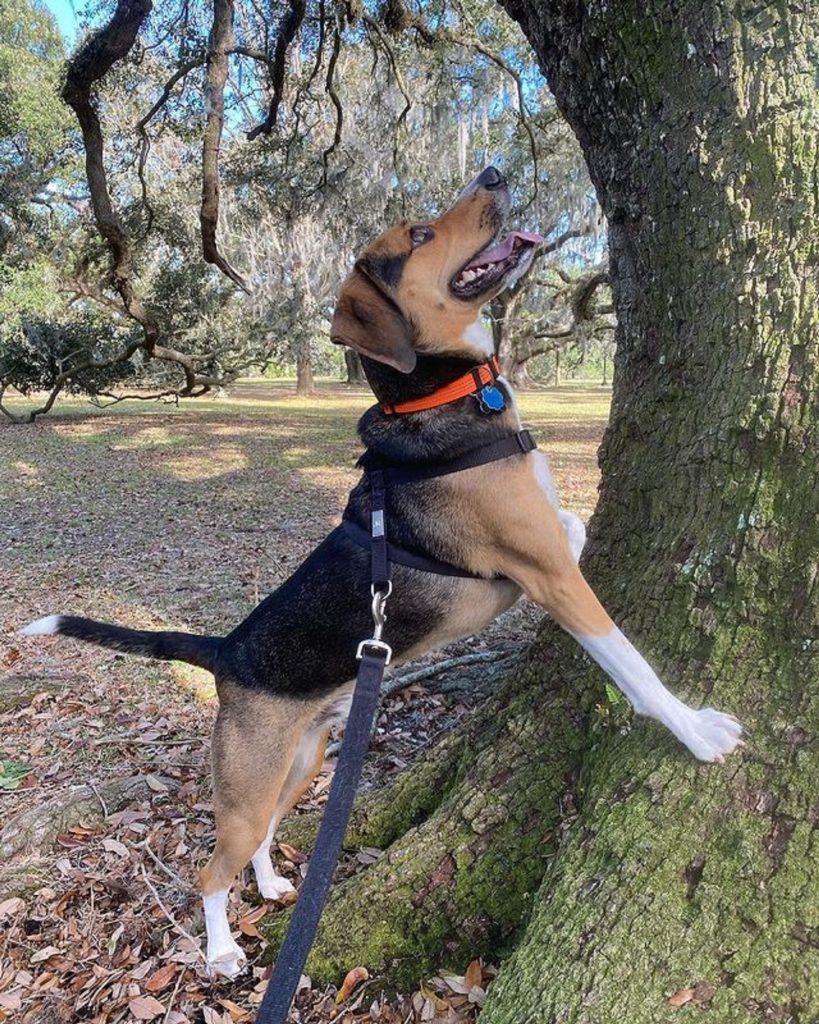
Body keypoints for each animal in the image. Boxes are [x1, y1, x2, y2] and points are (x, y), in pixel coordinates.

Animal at [19, 165, 745, 974]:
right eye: (420, 235)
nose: (494, 172)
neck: (448, 395)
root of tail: (228, 650)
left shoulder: (550, 547)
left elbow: (576, 523)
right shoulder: (551, 577)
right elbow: (633, 667)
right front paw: (696, 730)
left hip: (302, 761)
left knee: (263, 838)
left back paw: (271, 887)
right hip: (248, 782)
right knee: (210, 871)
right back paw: (221, 950)